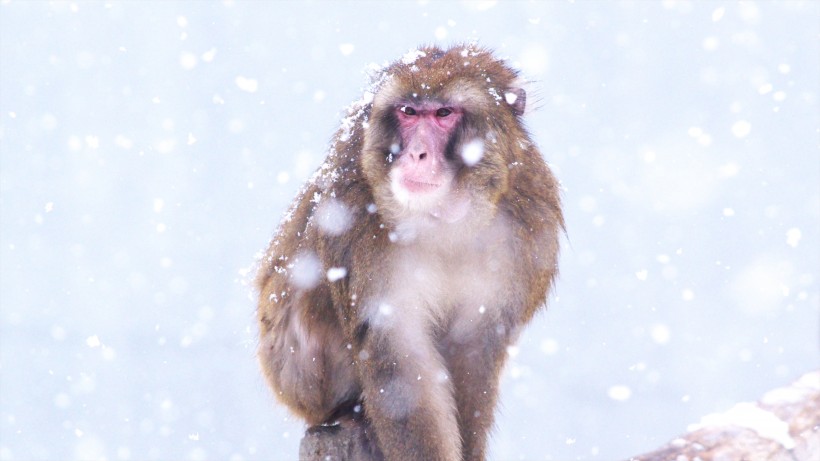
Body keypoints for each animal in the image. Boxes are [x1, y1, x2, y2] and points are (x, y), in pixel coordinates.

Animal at [256, 44, 564, 460]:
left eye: (444, 114)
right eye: (408, 112)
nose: (416, 153)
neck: (447, 218)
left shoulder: (529, 231)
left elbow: (474, 350)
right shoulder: (355, 222)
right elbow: (400, 361)